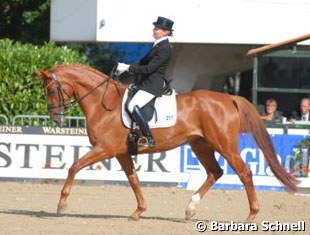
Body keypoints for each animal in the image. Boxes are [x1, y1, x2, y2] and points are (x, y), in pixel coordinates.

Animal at [36, 63, 298, 222]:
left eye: (51, 90)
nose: (56, 119)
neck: (104, 102)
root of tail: (228, 98)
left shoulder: (105, 149)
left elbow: (74, 167)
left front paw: (61, 205)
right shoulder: (121, 152)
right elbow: (133, 180)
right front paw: (139, 211)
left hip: (223, 144)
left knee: (244, 173)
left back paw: (251, 215)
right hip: (200, 145)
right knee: (215, 172)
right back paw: (190, 208)